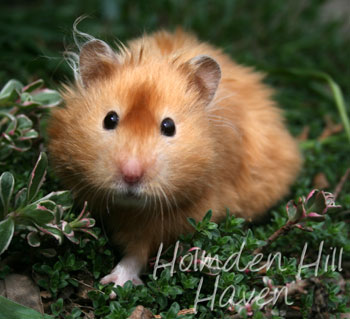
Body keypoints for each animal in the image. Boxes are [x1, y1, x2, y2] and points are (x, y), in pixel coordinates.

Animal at [47, 28, 302, 296]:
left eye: (169, 126)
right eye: (110, 119)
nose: (131, 175)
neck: (130, 208)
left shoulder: (177, 217)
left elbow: (138, 252)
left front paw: (114, 286)